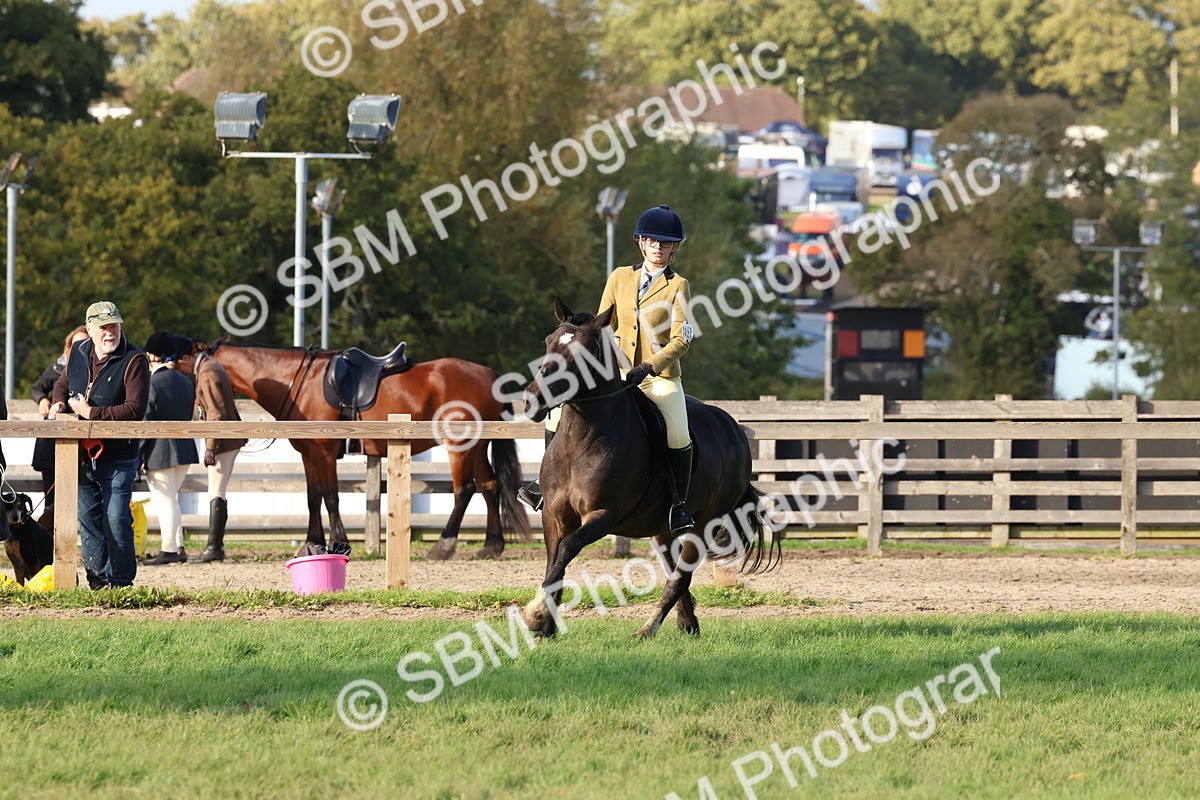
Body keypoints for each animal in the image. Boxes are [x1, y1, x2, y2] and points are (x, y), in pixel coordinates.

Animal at [204, 341, 531, 559]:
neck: (300, 382)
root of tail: (489, 374)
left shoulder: (324, 452)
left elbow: (331, 497)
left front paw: (340, 540)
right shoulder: (308, 454)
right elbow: (312, 499)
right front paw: (312, 542)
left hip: (459, 447)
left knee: (465, 490)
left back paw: (443, 546)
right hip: (477, 447)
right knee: (489, 486)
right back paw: (491, 546)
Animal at [520, 298, 780, 638]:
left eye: (582, 352)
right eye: (548, 342)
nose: (532, 401)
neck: (582, 440)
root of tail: (734, 428)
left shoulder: (603, 515)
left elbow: (567, 549)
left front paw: (535, 615)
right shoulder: (554, 515)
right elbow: (555, 564)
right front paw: (546, 627)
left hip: (703, 525)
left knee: (680, 576)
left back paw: (648, 630)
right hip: (662, 530)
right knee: (674, 572)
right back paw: (687, 624)